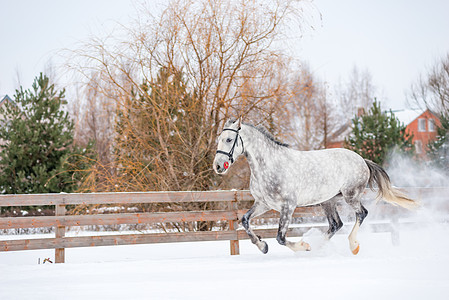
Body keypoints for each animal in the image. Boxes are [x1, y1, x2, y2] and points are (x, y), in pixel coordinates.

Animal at [214, 118, 416, 254]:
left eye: (229, 140)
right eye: (219, 139)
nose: (217, 166)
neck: (269, 165)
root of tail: (362, 160)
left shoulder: (288, 206)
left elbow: (281, 237)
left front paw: (303, 246)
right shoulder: (264, 204)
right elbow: (245, 220)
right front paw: (263, 246)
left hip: (351, 196)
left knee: (361, 214)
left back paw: (352, 245)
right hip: (328, 201)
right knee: (335, 224)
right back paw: (319, 247)